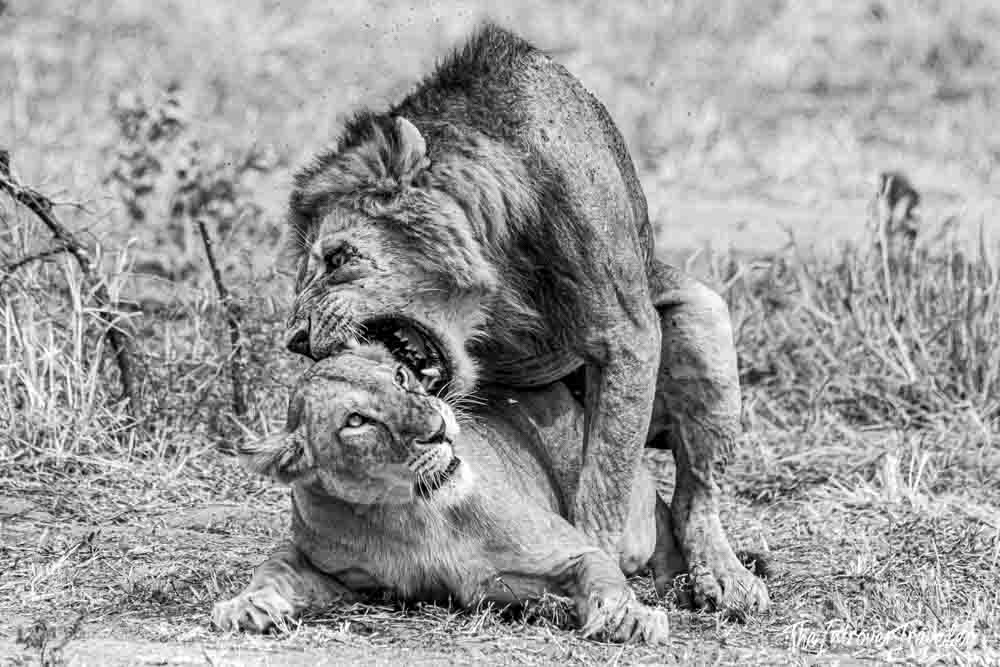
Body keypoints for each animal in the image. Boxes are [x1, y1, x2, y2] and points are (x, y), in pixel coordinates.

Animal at [212, 344, 678, 643]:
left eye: (400, 377)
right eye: (356, 421)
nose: (439, 428)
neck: (411, 514)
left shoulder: (576, 550)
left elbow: (603, 578)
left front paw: (629, 619)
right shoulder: (324, 566)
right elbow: (274, 566)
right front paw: (247, 606)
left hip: (627, 523)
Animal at [282, 23, 768, 611]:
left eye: (338, 259)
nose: (295, 338)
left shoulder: (626, 335)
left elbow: (604, 483)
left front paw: (600, 570)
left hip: (702, 322)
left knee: (697, 492)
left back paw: (725, 576)